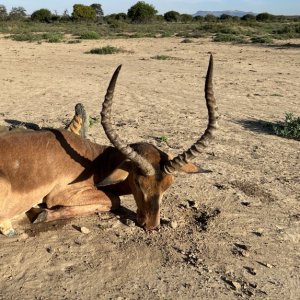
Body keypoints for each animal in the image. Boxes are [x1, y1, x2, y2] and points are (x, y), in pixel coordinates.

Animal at [0, 54, 217, 237]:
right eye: (137, 181)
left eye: (169, 184)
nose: (151, 226)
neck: (95, 160)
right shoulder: (61, 194)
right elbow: (114, 199)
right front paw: (40, 213)